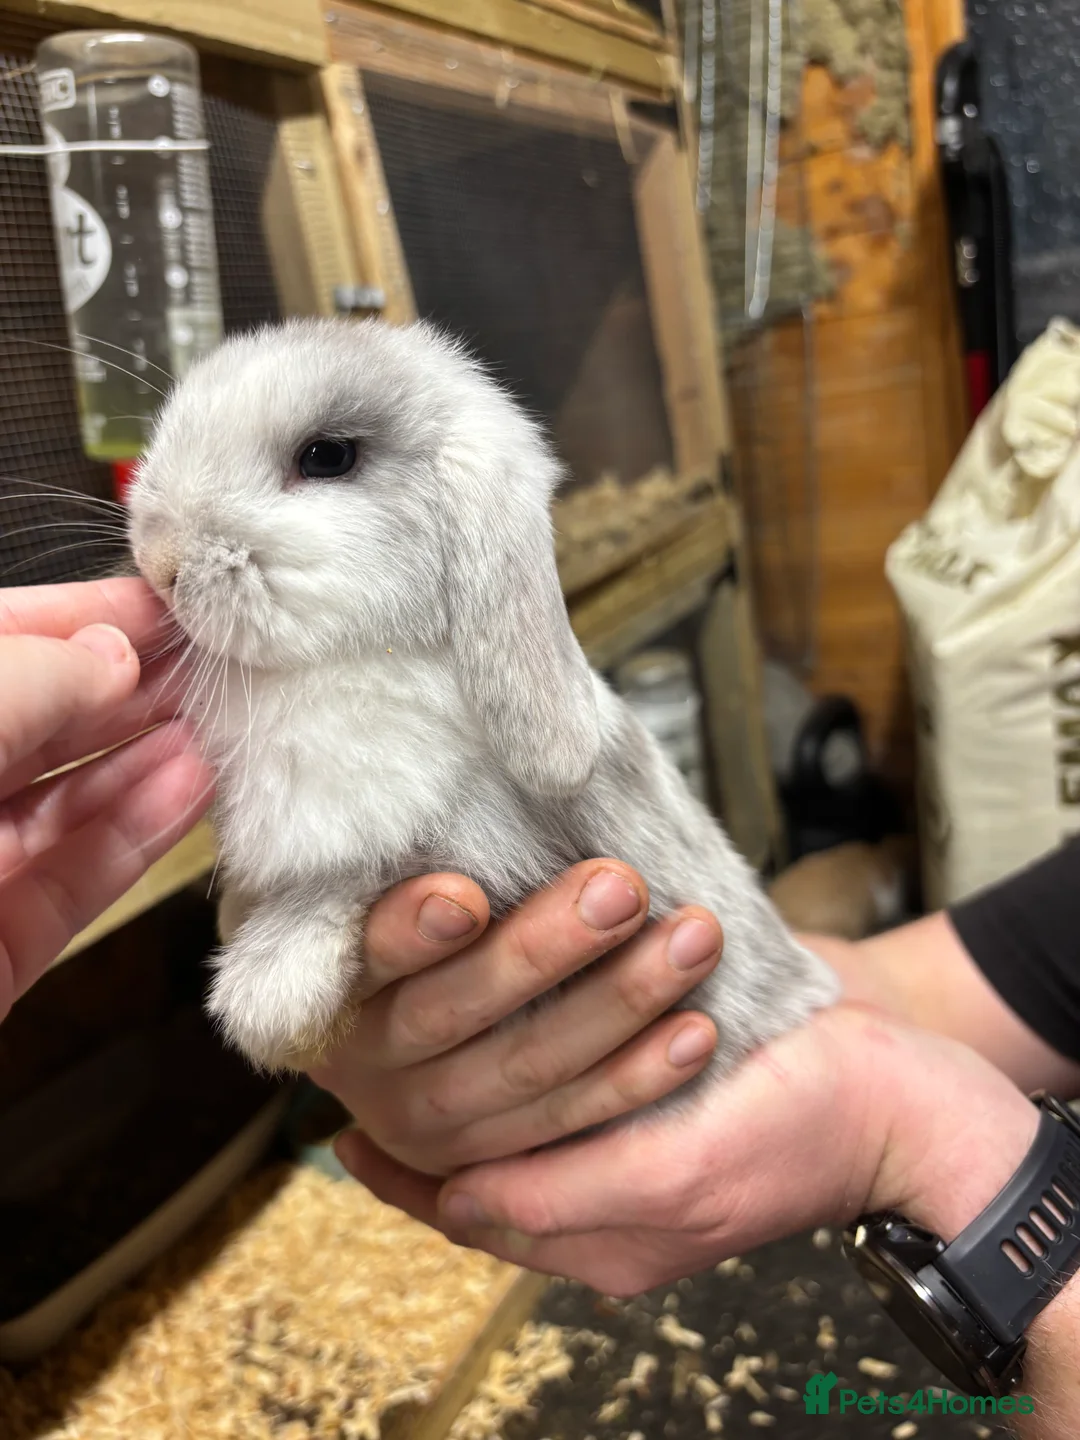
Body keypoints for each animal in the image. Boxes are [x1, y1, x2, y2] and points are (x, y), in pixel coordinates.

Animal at [127, 317, 840, 1083]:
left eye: (325, 457)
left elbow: (344, 880)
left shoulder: (453, 841)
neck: (343, 663)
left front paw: (266, 998)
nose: (161, 564)